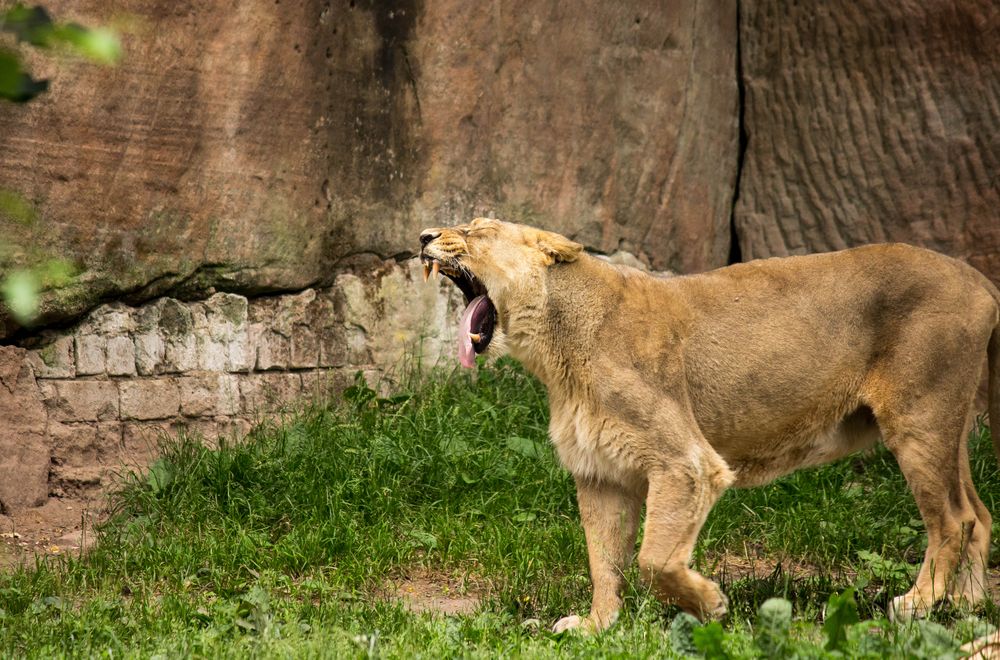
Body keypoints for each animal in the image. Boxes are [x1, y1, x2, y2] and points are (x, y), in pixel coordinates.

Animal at [416, 218, 1000, 636]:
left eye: (476, 229)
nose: (422, 237)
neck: (557, 350)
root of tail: (981, 280)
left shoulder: (686, 463)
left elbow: (653, 559)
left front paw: (711, 604)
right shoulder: (601, 474)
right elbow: (604, 561)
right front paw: (598, 626)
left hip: (919, 419)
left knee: (951, 520)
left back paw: (918, 604)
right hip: (948, 428)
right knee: (978, 514)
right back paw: (966, 606)